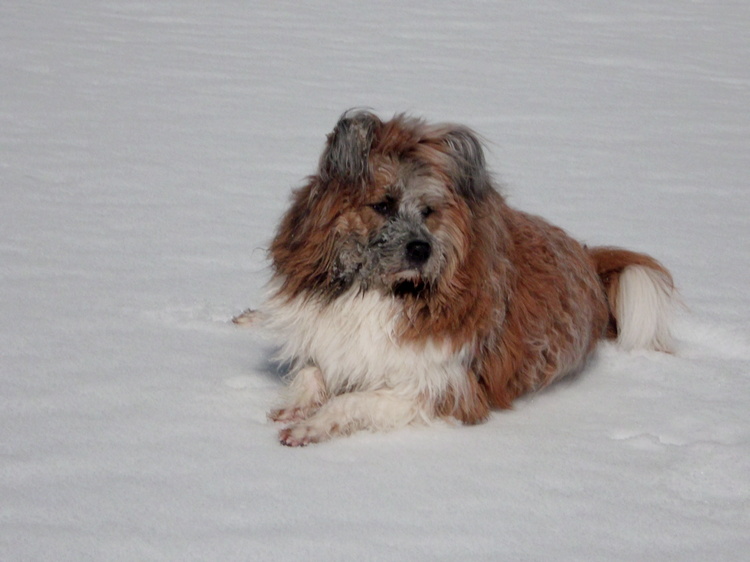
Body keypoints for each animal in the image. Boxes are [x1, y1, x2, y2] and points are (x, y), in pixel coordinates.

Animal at [238, 109, 680, 444]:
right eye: (383, 205)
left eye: (429, 211)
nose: (422, 250)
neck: (379, 291)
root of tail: (587, 256)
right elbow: (311, 370)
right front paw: (295, 403)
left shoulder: (443, 388)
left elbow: (353, 401)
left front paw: (314, 424)